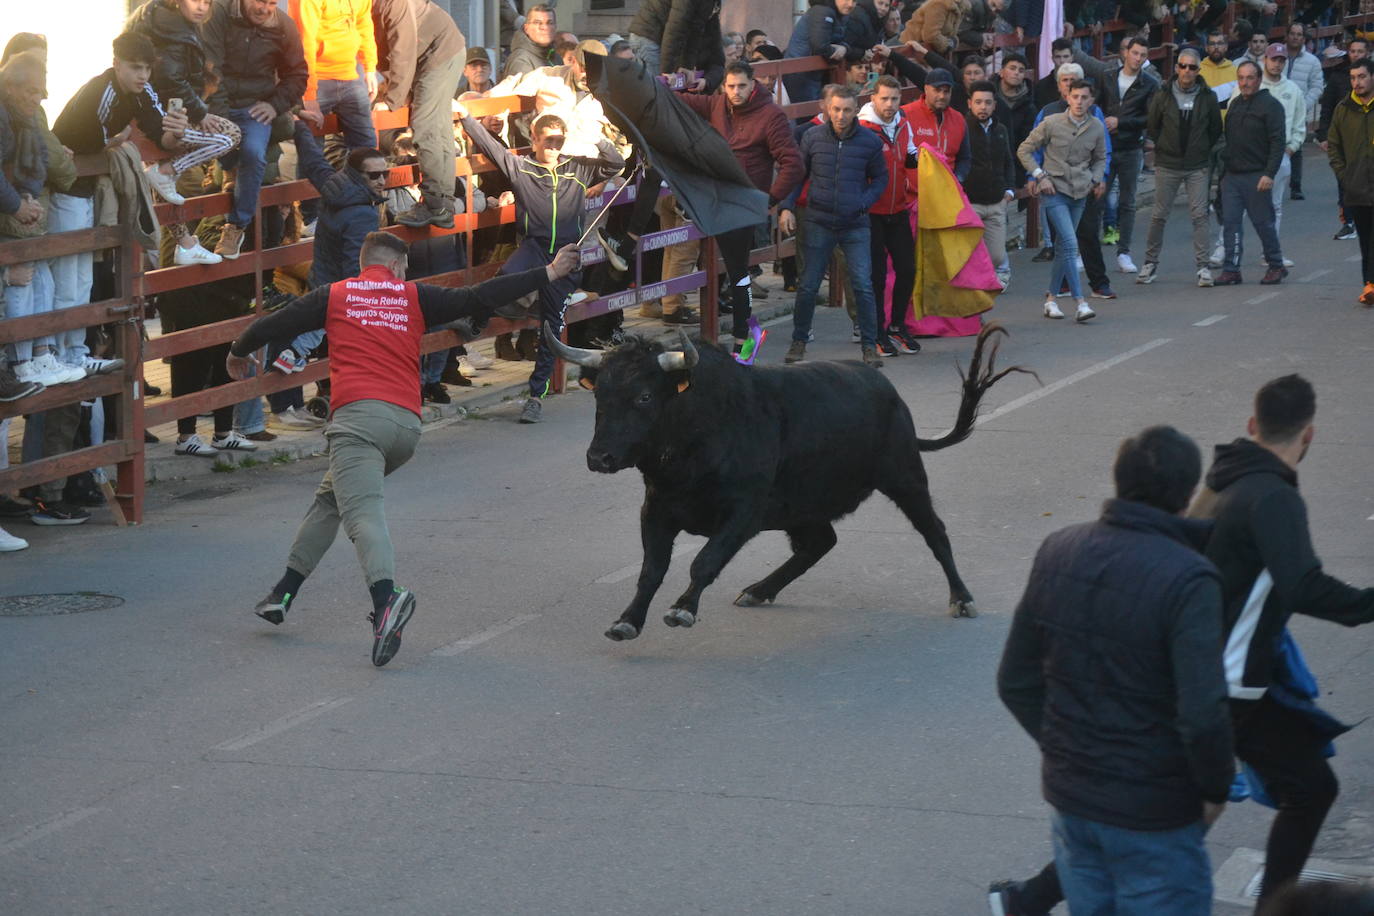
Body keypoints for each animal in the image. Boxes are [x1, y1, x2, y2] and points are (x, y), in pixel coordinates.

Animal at [546, 324, 1033, 645]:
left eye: (644, 396)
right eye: (599, 394)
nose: (599, 458)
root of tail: (884, 387)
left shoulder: (743, 512)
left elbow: (703, 562)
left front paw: (683, 609)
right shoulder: (657, 510)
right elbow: (651, 570)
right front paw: (626, 621)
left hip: (906, 478)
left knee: (935, 533)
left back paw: (962, 598)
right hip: (804, 507)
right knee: (819, 543)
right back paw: (759, 590)